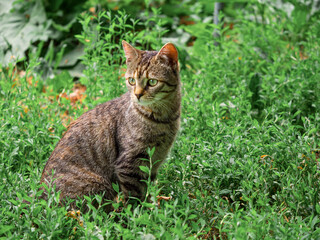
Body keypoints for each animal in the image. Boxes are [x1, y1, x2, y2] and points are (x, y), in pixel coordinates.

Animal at [39, 40, 180, 209]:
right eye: (131, 80)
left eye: (152, 82)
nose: (137, 94)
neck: (162, 118)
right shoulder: (129, 163)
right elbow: (134, 197)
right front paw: (138, 213)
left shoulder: (155, 161)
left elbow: (146, 190)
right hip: (98, 186)